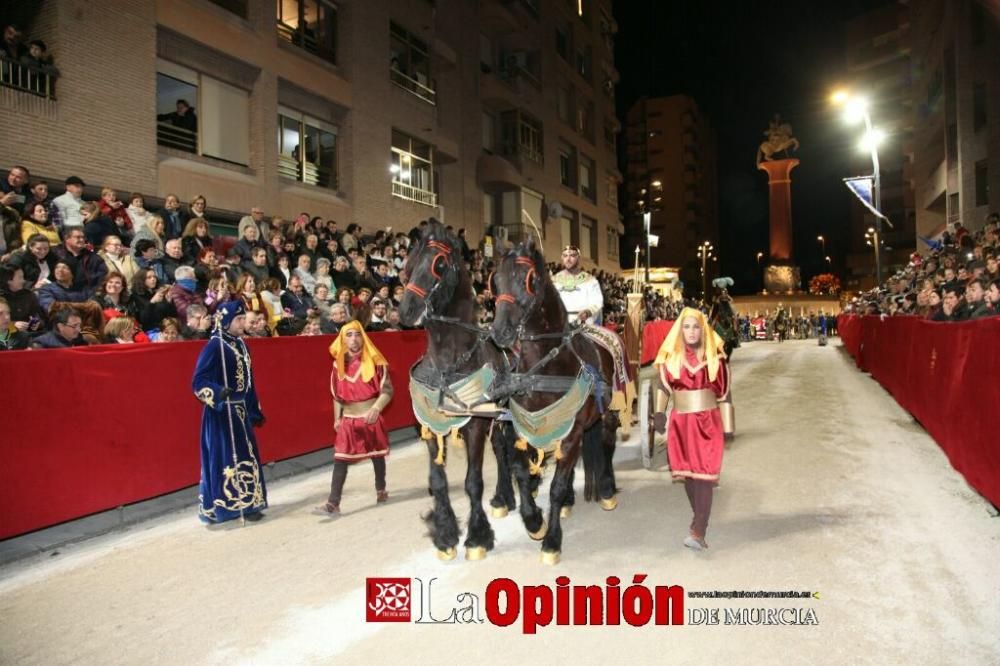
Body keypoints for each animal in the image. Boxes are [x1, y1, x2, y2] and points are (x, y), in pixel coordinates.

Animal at [394, 220, 516, 556]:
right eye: (408, 263)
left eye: (438, 264)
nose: (406, 310)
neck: (448, 364)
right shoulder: (430, 426)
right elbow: (438, 480)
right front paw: (445, 534)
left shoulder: (474, 426)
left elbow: (473, 481)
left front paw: (477, 537)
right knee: (501, 450)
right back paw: (503, 498)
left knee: (506, 450)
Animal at [490, 236, 620, 564]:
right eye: (495, 280)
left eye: (528, 280)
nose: (500, 332)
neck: (546, 366)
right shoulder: (522, 428)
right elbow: (522, 473)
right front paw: (534, 520)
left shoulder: (573, 432)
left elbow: (558, 486)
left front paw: (551, 541)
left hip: (608, 412)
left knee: (607, 443)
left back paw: (607, 490)